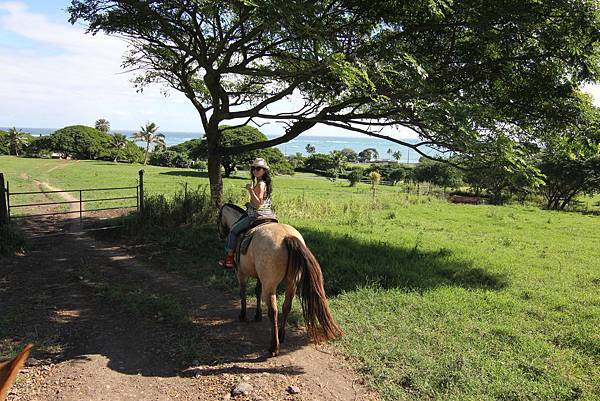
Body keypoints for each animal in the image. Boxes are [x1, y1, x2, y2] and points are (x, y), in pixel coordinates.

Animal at [219, 205, 342, 354]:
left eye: (219, 217)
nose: (221, 235)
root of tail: (287, 237)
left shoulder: (241, 273)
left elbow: (242, 293)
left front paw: (243, 315)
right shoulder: (261, 278)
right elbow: (257, 292)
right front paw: (257, 315)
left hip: (271, 285)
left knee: (274, 311)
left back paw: (274, 346)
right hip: (291, 284)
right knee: (286, 307)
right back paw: (281, 336)